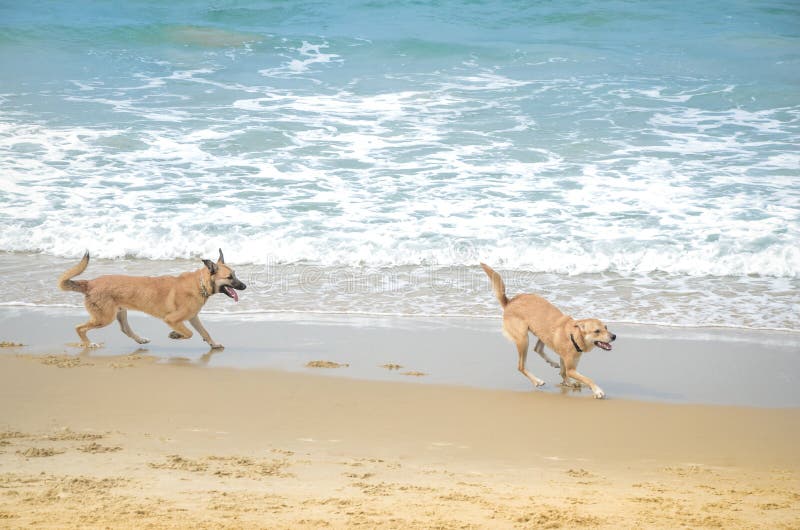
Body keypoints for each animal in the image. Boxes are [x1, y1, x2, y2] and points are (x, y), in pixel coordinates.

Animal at [58, 249, 245, 348]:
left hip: (119, 313)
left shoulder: (193, 318)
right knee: (79, 328)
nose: (245, 286)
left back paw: (140, 339)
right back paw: (89, 344)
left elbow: (204, 332)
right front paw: (175, 335)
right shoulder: (172, 319)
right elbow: (189, 333)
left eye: (235, 274)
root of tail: (89, 283)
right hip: (104, 318)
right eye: (230, 277)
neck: (200, 284)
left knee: (125, 329)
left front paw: (213, 344)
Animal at [478, 262, 616, 398]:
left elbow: (564, 373)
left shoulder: (566, 361)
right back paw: (537, 381)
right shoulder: (571, 369)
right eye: (597, 331)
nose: (614, 336)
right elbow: (586, 378)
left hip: (541, 333)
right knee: (521, 366)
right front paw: (597, 391)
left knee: (537, 349)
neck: (574, 336)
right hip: (523, 339)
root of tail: (509, 302)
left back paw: (553, 363)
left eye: (606, 327)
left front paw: (569, 383)